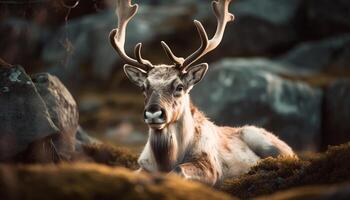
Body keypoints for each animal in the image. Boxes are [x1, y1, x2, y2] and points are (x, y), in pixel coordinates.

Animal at [109, 0, 296, 186]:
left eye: (179, 87)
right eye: (144, 87)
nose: (153, 113)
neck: (166, 160)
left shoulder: (211, 165)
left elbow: (179, 170)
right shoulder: (143, 166)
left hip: (266, 141)